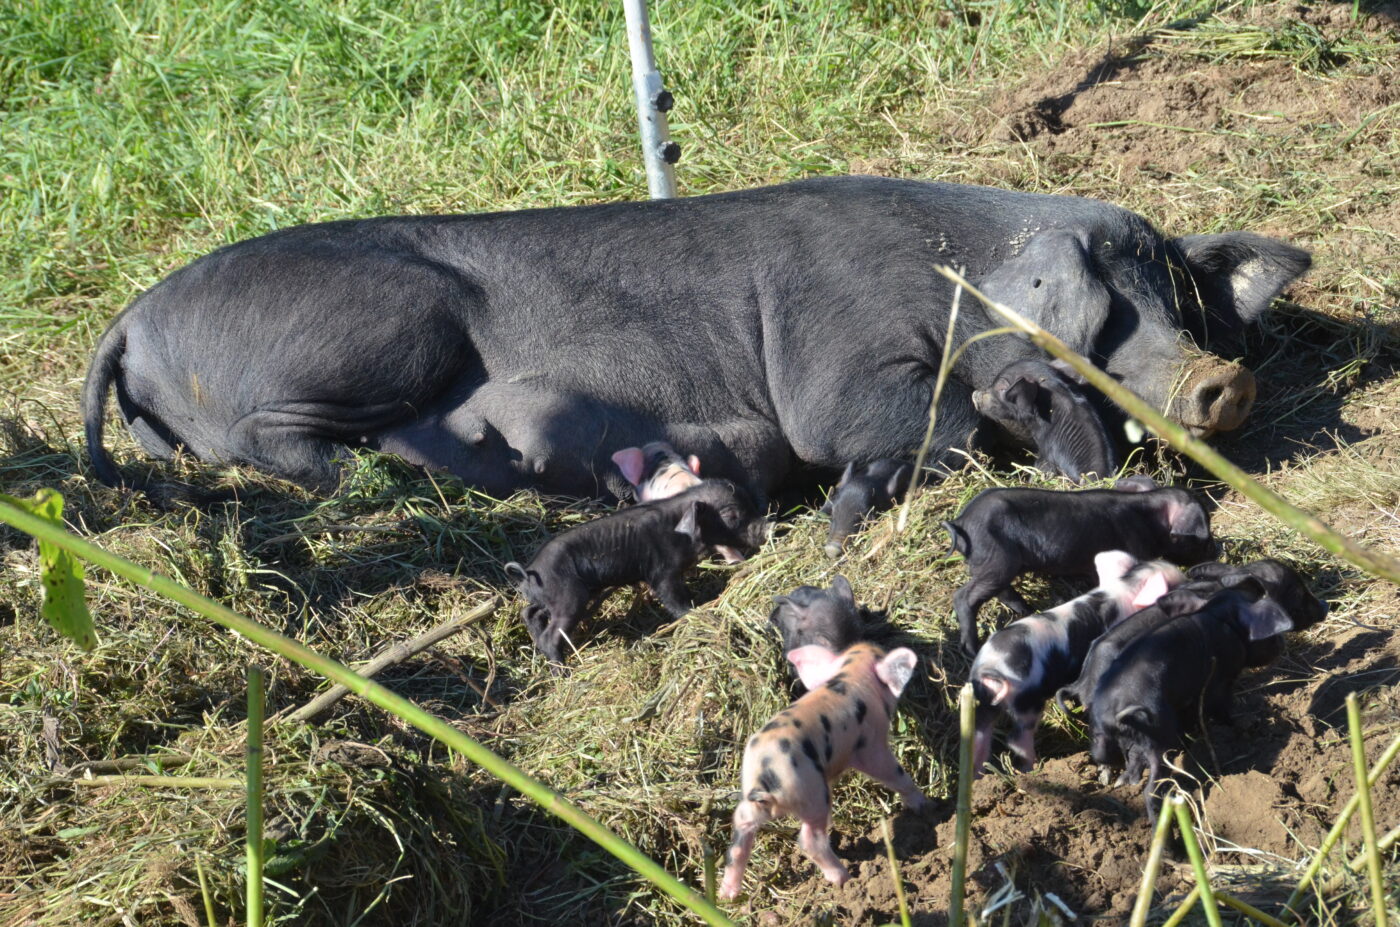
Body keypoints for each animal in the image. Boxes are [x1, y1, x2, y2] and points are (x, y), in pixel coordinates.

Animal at [504, 481, 767, 672]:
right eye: (731, 515)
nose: (767, 527)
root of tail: (529, 571)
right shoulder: (662, 573)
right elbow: (674, 600)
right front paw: (694, 613)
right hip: (568, 599)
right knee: (550, 635)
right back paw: (564, 672)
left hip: (547, 599)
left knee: (529, 613)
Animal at [722, 644, 929, 896]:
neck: (850, 675)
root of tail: (765, 776)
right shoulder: (871, 745)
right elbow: (894, 774)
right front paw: (924, 806)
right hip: (813, 794)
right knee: (810, 840)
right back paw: (845, 879)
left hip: (755, 802)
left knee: (742, 824)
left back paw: (727, 893)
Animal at [946, 481, 1220, 658]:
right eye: (1203, 535)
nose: (1216, 550)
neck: (1150, 520)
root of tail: (962, 521)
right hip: (997, 561)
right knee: (963, 596)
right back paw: (971, 649)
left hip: (996, 564)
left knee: (1002, 591)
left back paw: (1028, 610)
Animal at [968, 551, 1187, 778]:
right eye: (1176, 584)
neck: (1126, 587)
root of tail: (990, 667)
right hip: (1026, 701)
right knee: (1016, 739)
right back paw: (1031, 769)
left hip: (984, 701)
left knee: (980, 734)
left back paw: (979, 775)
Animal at [1086, 582, 1293, 823]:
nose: (1282, 643)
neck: (1221, 617)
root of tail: (1115, 715)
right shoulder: (1219, 682)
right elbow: (1223, 708)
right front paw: (1245, 721)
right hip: (1159, 738)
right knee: (1150, 789)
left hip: (1122, 740)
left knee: (1131, 763)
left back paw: (1123, 783)